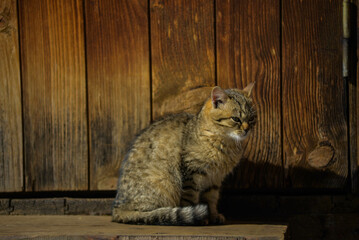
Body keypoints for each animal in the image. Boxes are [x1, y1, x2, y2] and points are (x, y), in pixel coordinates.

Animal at [112, 84, 256, 225]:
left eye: (252, 119)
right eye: (236, 119)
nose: (247, 129)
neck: (225, 142)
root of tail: (117, 209)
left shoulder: (215, 179)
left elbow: (211, 199)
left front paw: (213, 216)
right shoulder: (192, 173)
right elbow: (190, 199)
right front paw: (200, 217)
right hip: (162, 183)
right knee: (146, 214)